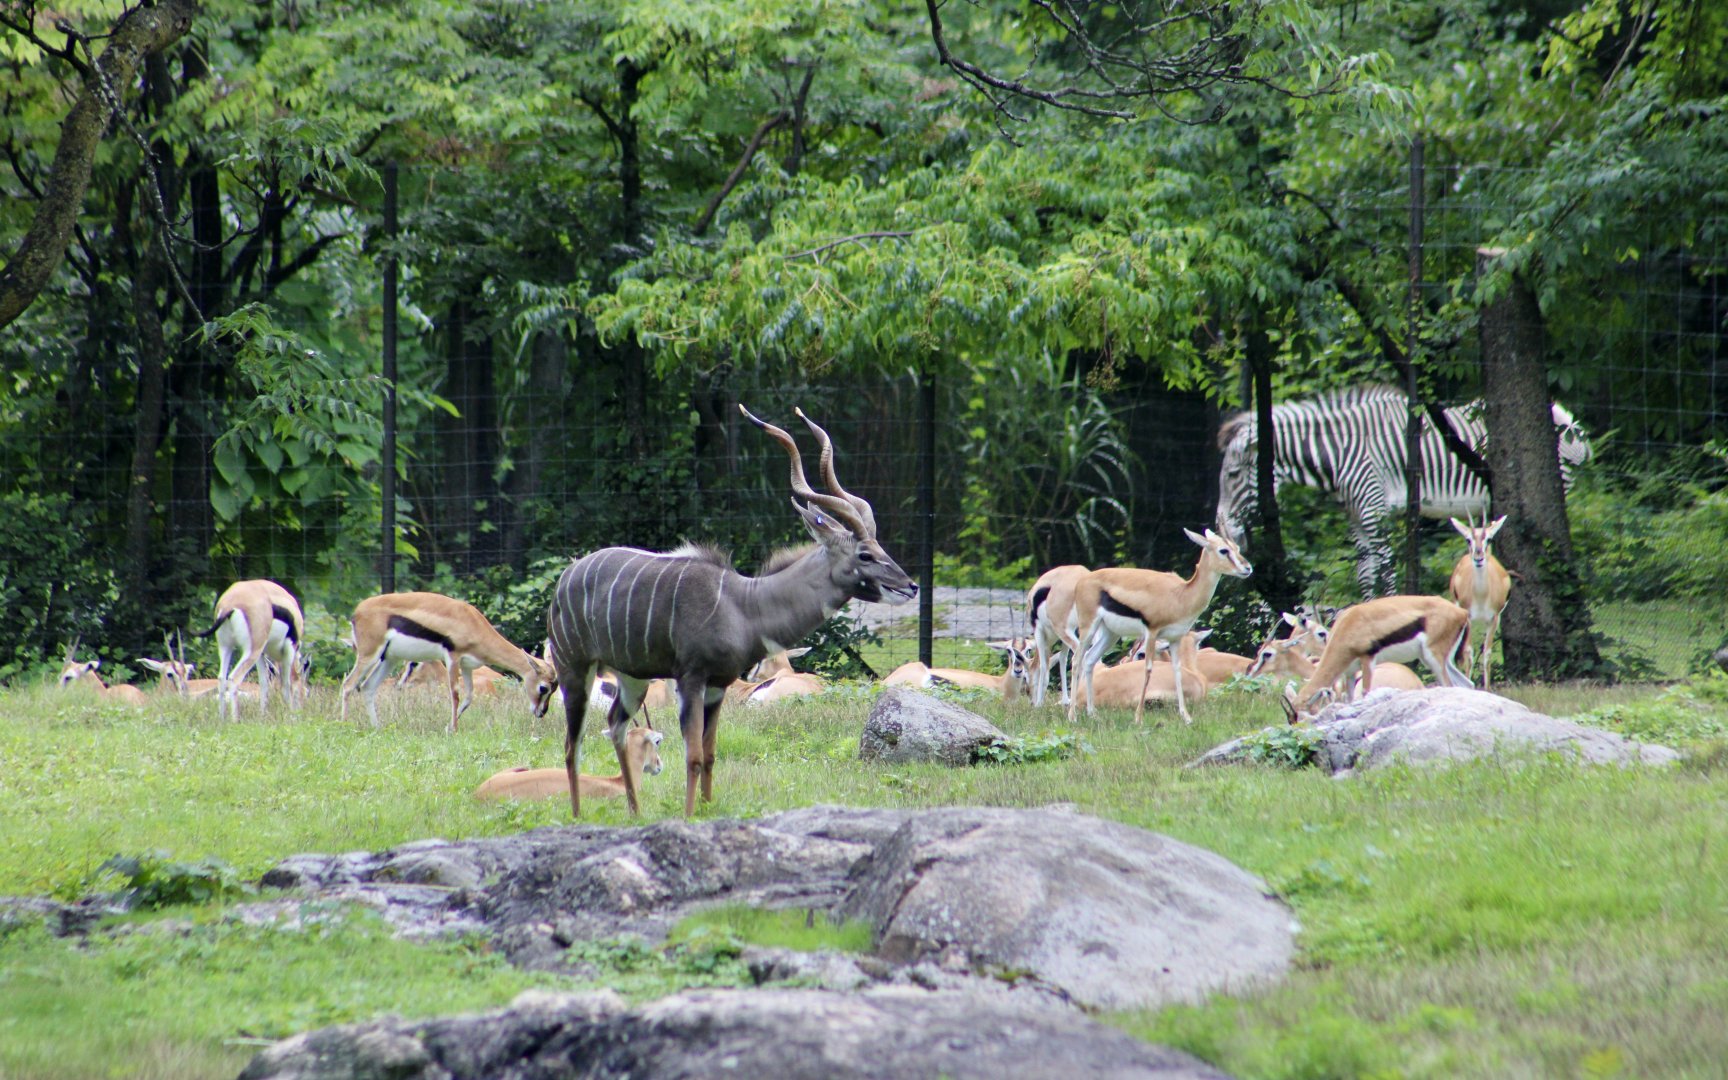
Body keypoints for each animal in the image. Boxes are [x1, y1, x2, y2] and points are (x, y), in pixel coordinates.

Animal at [1214, 385, 1591, 597]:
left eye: (1232, 474)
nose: (1226, 533)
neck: (1342, 450)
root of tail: (1568, 418)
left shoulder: (1374, 512)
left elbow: (1386, 571)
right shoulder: (1357, 518)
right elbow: (1365, 574)